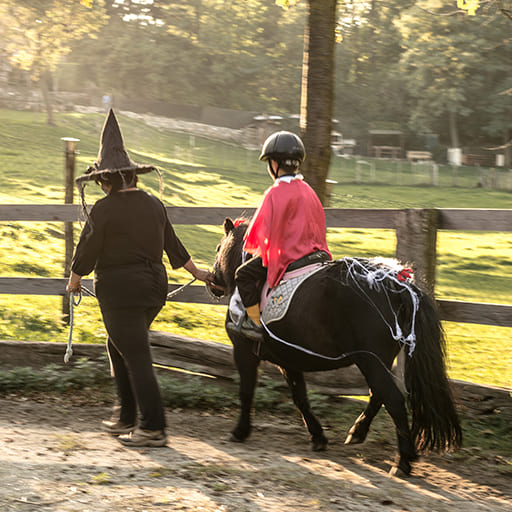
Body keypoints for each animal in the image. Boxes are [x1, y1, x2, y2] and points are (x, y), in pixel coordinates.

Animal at [210, 217, 462, 476]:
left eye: (219, 248)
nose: (213, 282)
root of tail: (398, 285)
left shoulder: (244, 351)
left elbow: (246, 391)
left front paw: (240, 431)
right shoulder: (289, 360)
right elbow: (300, 398)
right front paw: (318, 437)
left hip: (370, 361)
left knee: (393, 399)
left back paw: (402, 461)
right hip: (378, 361)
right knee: (379, 394)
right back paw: (358, 433)